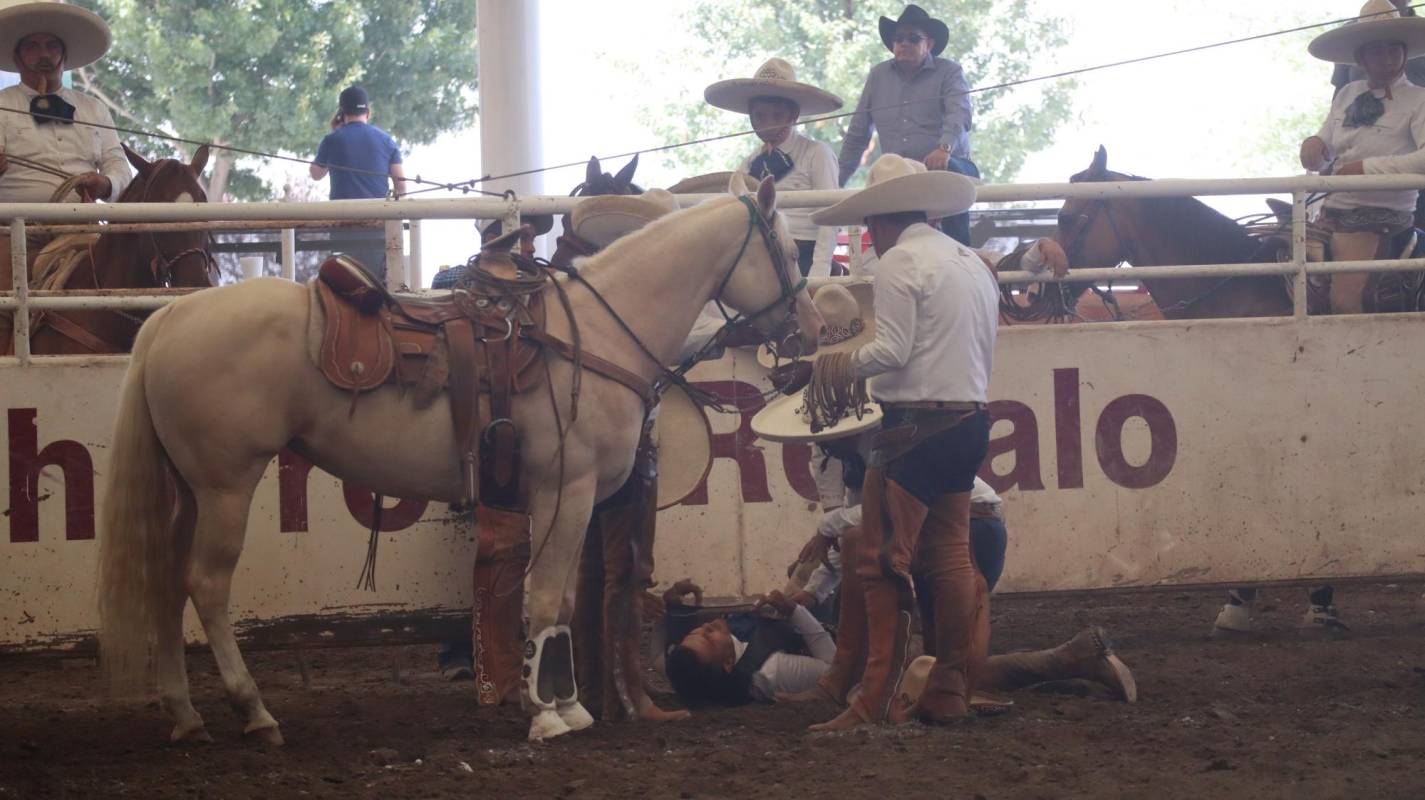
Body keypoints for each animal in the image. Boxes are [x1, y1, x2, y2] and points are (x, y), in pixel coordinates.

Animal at [97, 177, 815, 741]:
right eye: (784, 248)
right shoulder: (566, 491)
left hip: (188, 491)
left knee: (167, 584)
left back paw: (186, 713)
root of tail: (169, 320)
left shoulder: (567, 500)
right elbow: (546, 597)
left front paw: (569, 706)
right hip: (225, 486)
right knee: (206, 586)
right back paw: (254, 710)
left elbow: (559, 602)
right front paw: (546, 714)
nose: (806, 331)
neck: (593, 336)